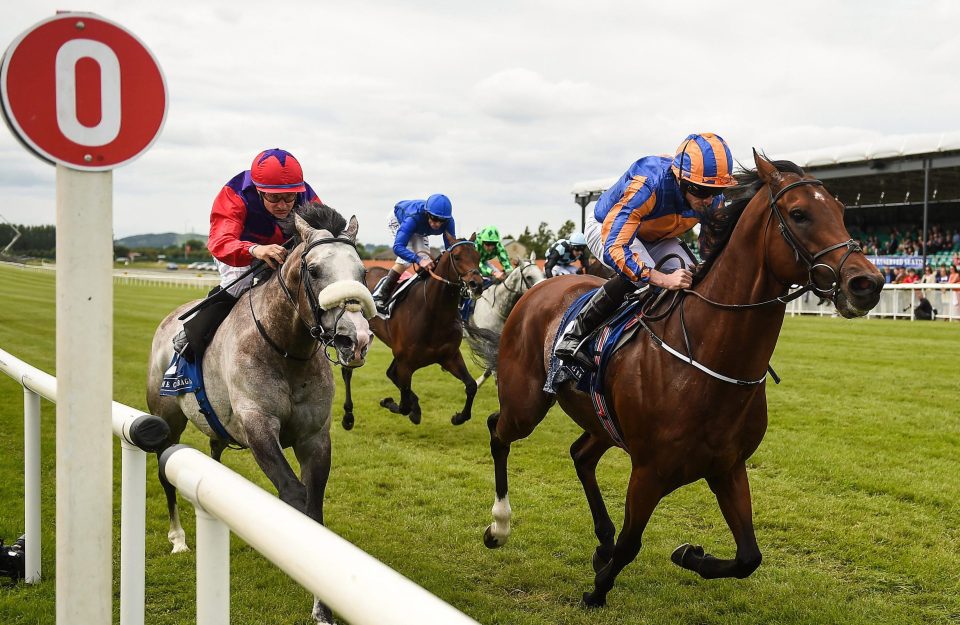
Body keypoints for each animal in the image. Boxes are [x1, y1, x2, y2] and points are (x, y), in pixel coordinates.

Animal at [146, 202, 376, 620]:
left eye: (363, 272)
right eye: (314, 270)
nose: (357, 338)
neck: (285, 349)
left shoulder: (314, 437)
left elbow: (314, 504)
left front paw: (323, 607)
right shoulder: (258, 425)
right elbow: (295, 495)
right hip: (167, 418)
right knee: (164, 470)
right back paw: (178, 538)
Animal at [364, 232, 484, 426]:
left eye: (478, 256)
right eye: (457, 256)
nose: (477, 284)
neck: (434, 312)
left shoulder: (450, 356)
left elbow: (471, 385)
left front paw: (459, 417)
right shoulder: (406, 363)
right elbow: (404, 405)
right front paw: (391, 403)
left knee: (391, 373)